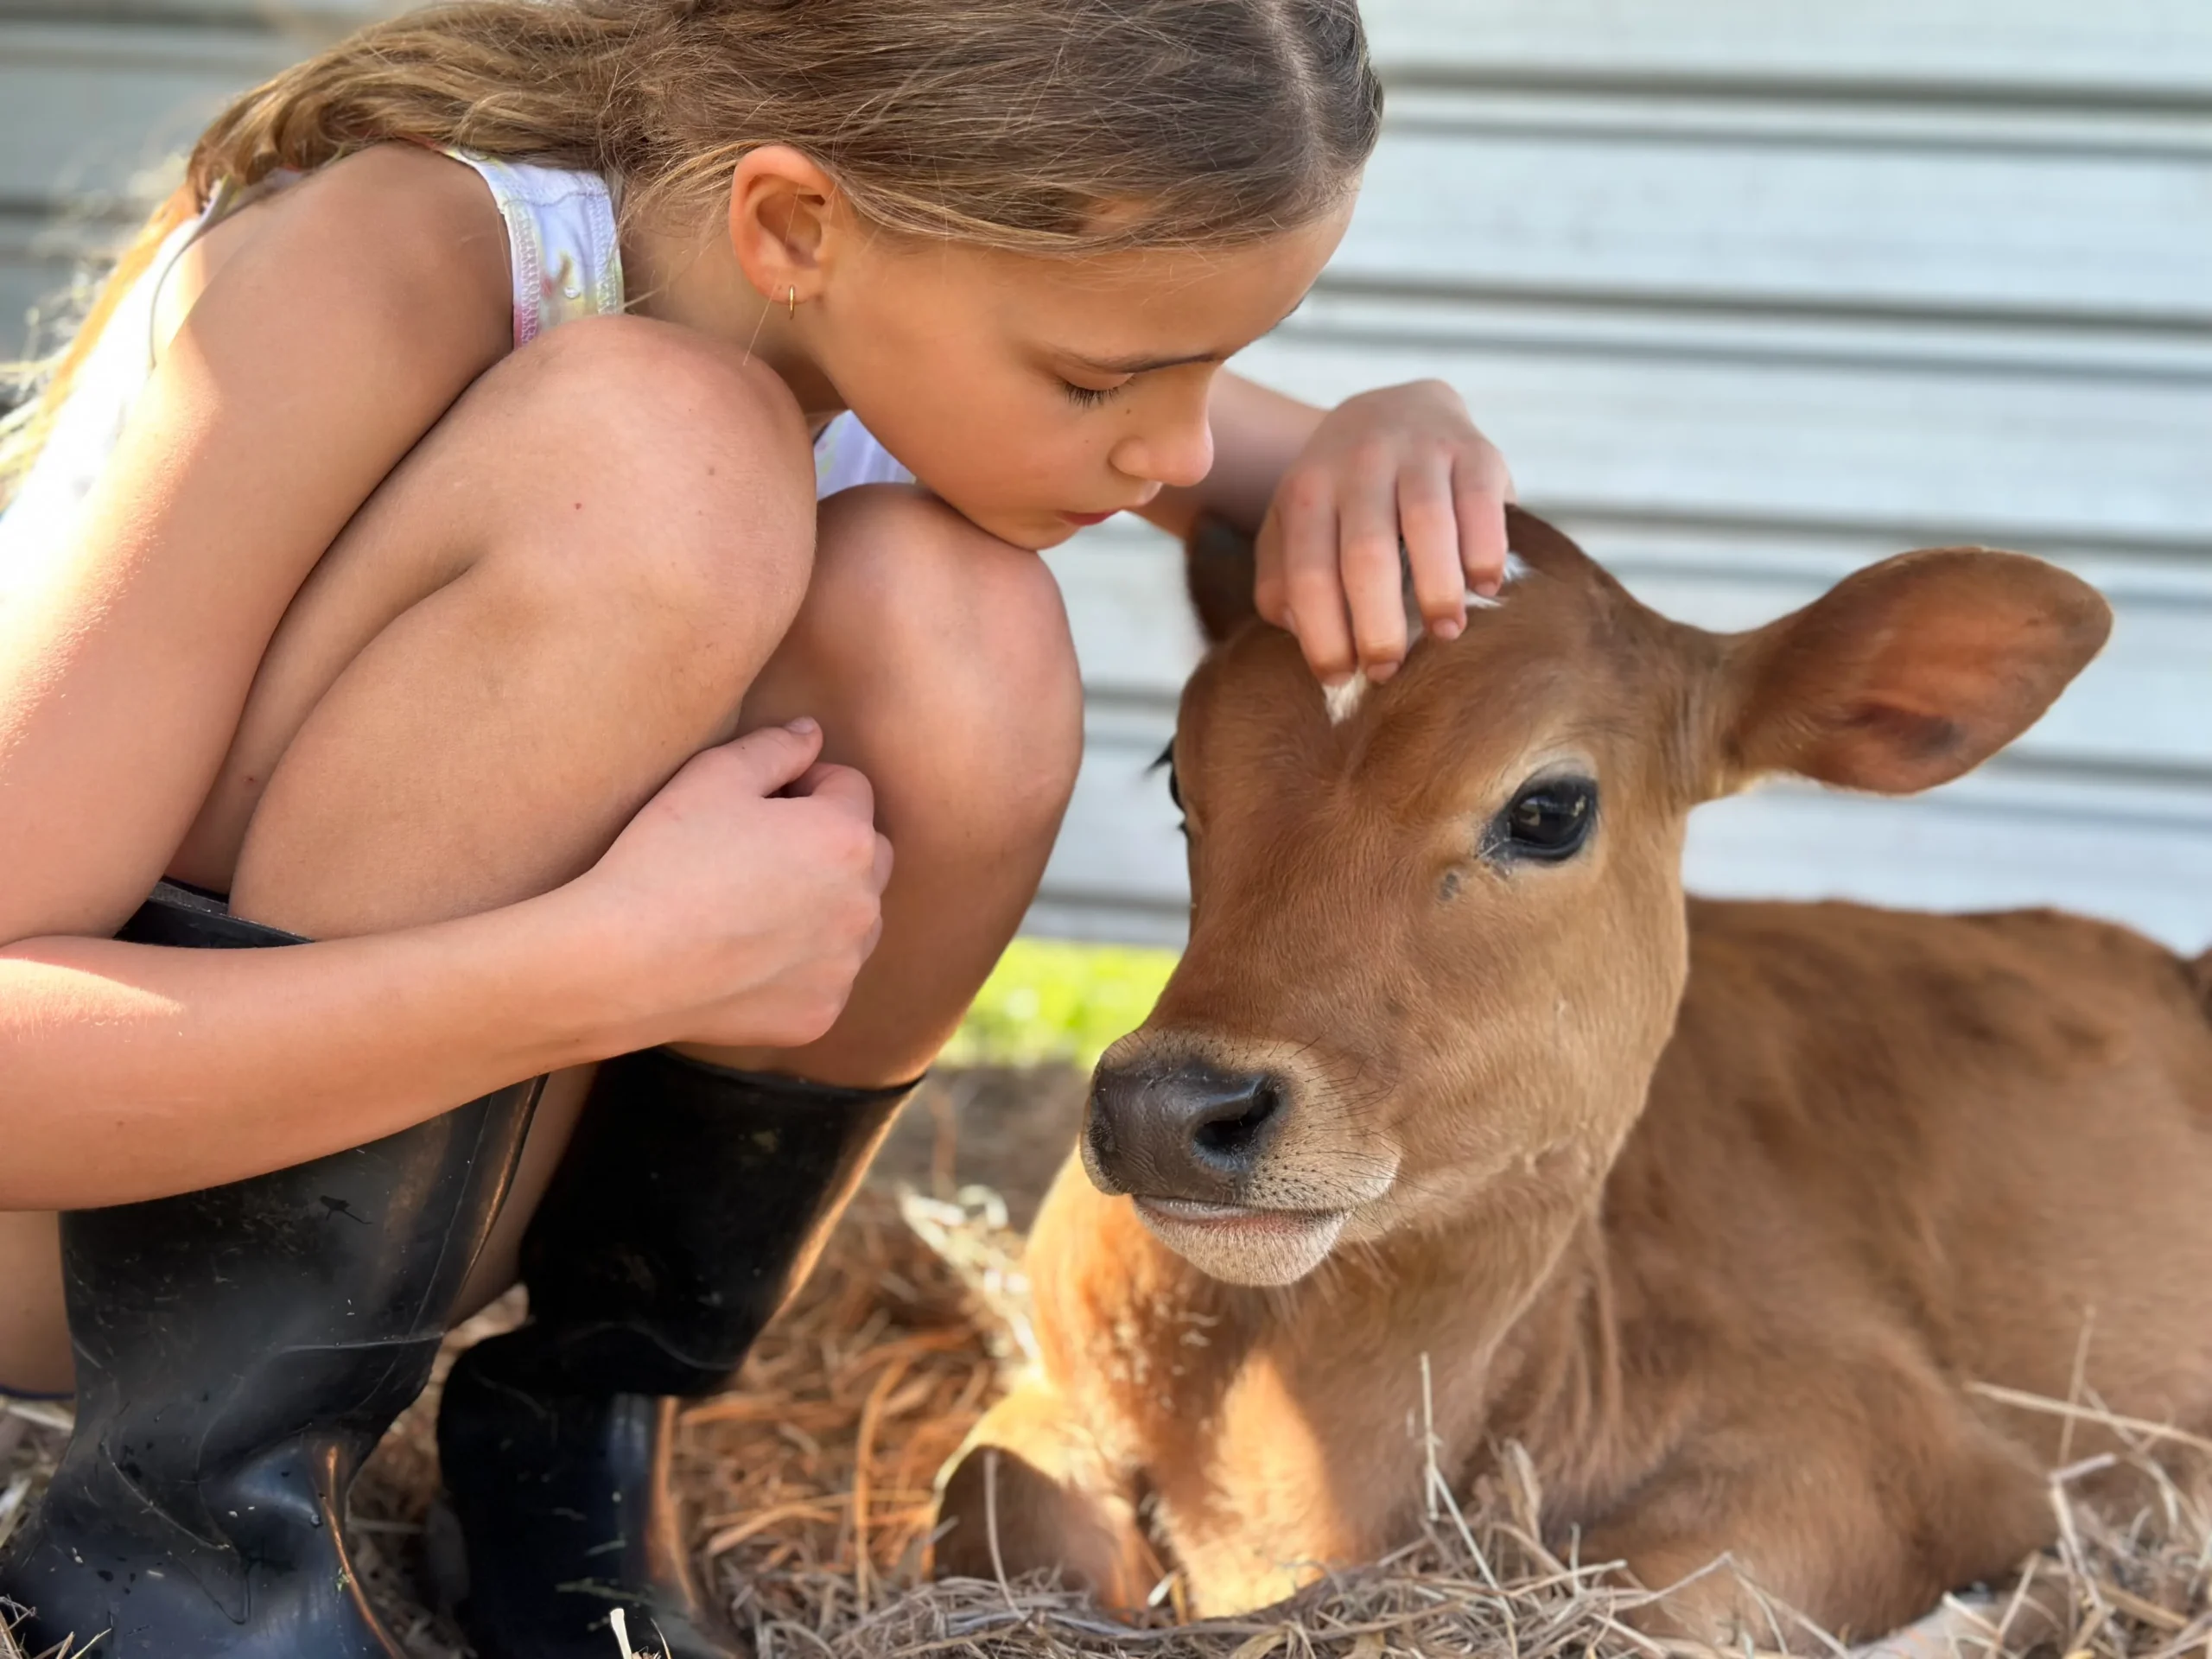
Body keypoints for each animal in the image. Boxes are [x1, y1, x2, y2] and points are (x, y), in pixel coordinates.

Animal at [931, 507, 2212, 1644]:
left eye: (1549, 809)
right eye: (1175, 775)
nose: (1165, 1108)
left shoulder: (1898, 1451)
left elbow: (1637, 1607)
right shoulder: (1053, 1389)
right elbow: (982, 1505)